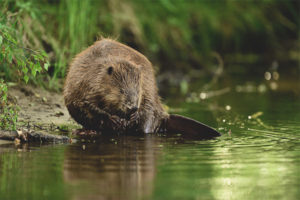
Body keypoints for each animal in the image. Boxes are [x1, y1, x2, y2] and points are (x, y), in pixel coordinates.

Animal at [63, 39, 220, 139]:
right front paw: (115, 120)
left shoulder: (145, 87)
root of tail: (164, 116)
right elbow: (87, 104)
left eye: (137, 91)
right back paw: (84, 131)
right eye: (121, 91)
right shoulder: (86, 82)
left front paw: (131, 118)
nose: (132, 107)